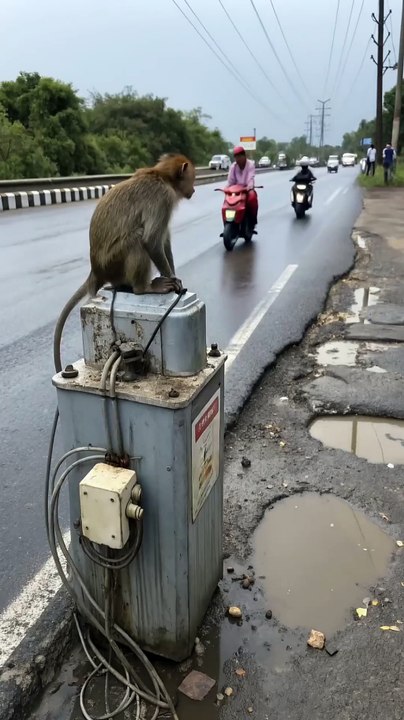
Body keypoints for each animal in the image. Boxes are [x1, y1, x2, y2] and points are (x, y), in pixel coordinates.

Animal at [53, 153, 196, 373]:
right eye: (192, 179)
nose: (194, 189)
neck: (161, 175)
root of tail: (96, 270)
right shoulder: (163, 198)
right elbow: (151, 240)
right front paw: (172, 280)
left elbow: (164, 240)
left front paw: (174, 277)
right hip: (114, 262)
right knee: (137, 238)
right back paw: (142, 288)